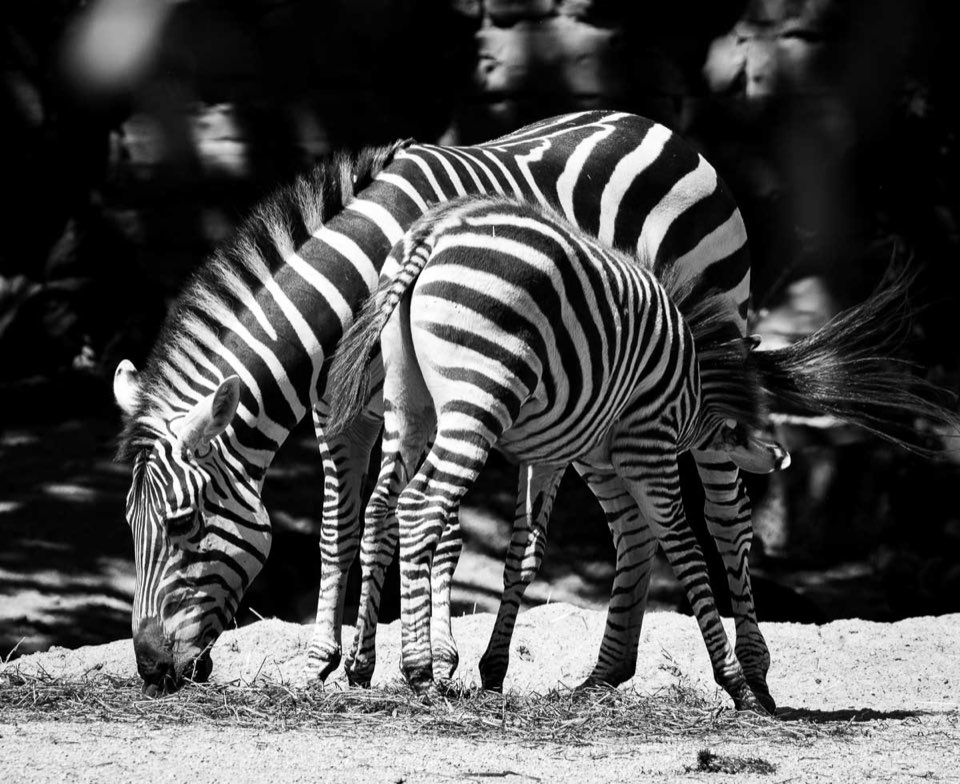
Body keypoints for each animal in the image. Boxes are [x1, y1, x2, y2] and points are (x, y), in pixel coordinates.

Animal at [112, 110, 765, 697]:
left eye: (183, 523)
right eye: (129, 527)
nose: (149, 670)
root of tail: (655, 127)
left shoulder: (432, 401)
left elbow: (433, 529)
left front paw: (433, 658)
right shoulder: (338, 415)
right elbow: (343, 529)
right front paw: (334, 660)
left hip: (704, 350)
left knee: (726, 513)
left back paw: (753, 673)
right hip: (594, 403)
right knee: (632, 526)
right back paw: (607, 673)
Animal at [325, 195, 960, 707]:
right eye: (739, 430)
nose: (778, 458)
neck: (693, 384)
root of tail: (434, 235)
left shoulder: (555, 452)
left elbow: (525, 556)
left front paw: (495, 670)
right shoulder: (647, 448)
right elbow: (687, 549)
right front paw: (736, 682)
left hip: (408, 405)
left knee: (381, 509)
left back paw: (362, 665)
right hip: (478, 399)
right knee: (420, 507)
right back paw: (419, 673)